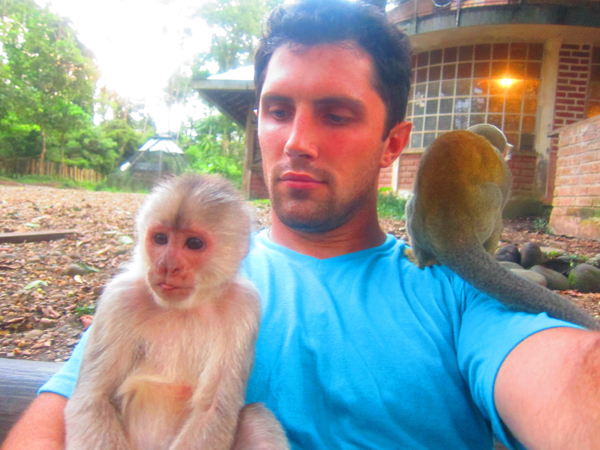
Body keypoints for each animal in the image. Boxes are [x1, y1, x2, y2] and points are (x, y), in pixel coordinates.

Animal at [65, 175, 290, 450]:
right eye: (161, 239)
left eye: (193, 243)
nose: (166, 266)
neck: (185, 307)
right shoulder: (118, 297)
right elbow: (93, 400)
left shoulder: (244, 305)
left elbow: (212, 409)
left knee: (256, 415)